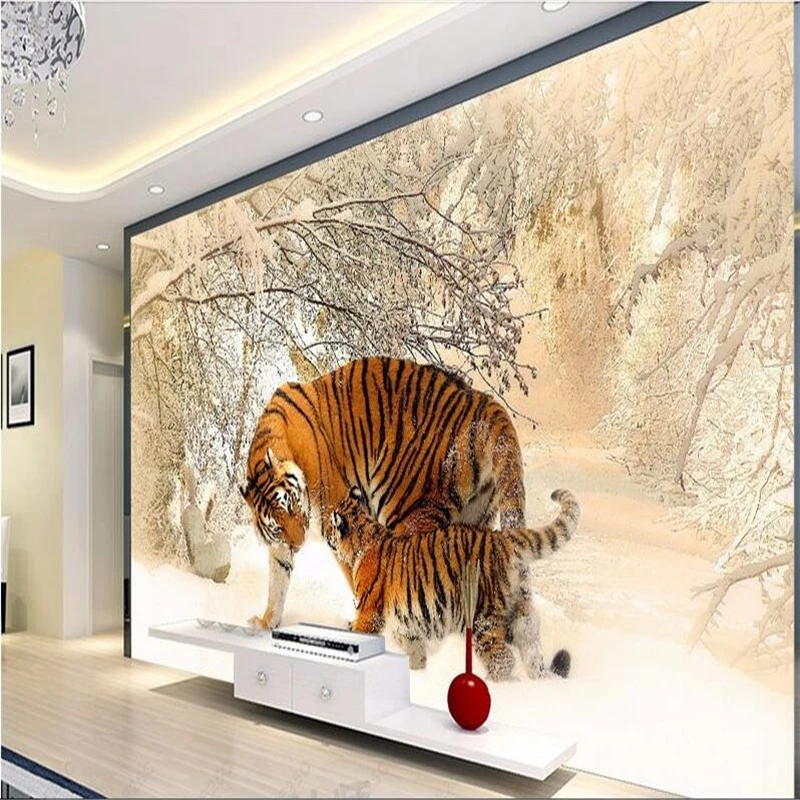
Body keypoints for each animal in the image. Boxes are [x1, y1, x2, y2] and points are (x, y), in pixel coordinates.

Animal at [240, 356, 527, 630]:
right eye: (276, 526)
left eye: (290, 504)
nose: (299, 544)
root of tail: (483, 402)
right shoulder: (281, 544)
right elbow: (278, 579)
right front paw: (266, 622)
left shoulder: (337, 513)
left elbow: (355, 570)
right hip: (476, 519)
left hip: (408, 509)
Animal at [325, 487, 580, 680]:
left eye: (330, 525)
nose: (325, 532)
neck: (362, 539)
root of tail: (501, 539)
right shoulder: (406, 627)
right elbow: (416, 652)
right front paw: (417, 674)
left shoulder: (369, 613)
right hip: (520, 613)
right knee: (531, 650)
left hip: (481, 618)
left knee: (503, 659)